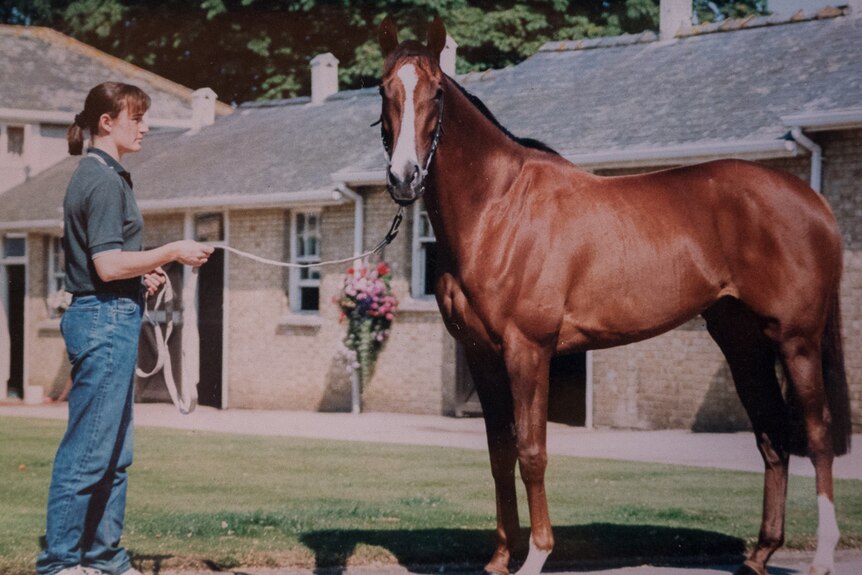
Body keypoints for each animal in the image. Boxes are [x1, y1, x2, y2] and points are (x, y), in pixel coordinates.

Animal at [376, 16, 852, 575]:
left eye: (435, 92)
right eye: (384, 90)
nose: (404, 177)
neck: (498, 209)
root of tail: (813, 202)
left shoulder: (527, 350)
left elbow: (532, 451)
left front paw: (537, 555)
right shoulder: (482, 356)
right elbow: (499, 454)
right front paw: (499, 559)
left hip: (797, 340)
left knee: (816, 434)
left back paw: (821, 556)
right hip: (744, 342)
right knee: (772, 436)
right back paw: (759, 554)